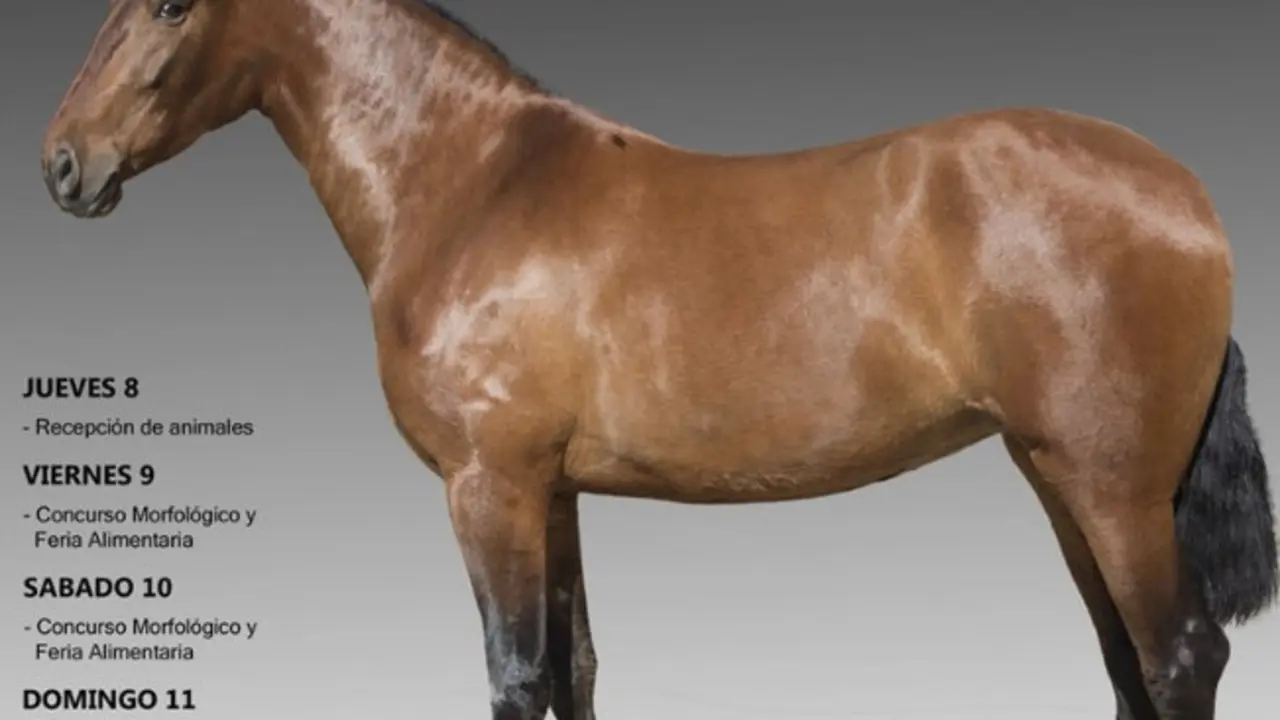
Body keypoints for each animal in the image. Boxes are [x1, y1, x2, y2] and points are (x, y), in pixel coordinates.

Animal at [40, 1, 1276, 718]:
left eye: (167, 3)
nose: (62, 164)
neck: (471, 185)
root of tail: (1183, 190)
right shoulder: (548, 492)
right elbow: (572, 669)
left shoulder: (486, 488)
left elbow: (515, 677)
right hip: (1063, 480)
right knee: (1125, 664)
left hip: (1117, 493)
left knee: (1178, 659)